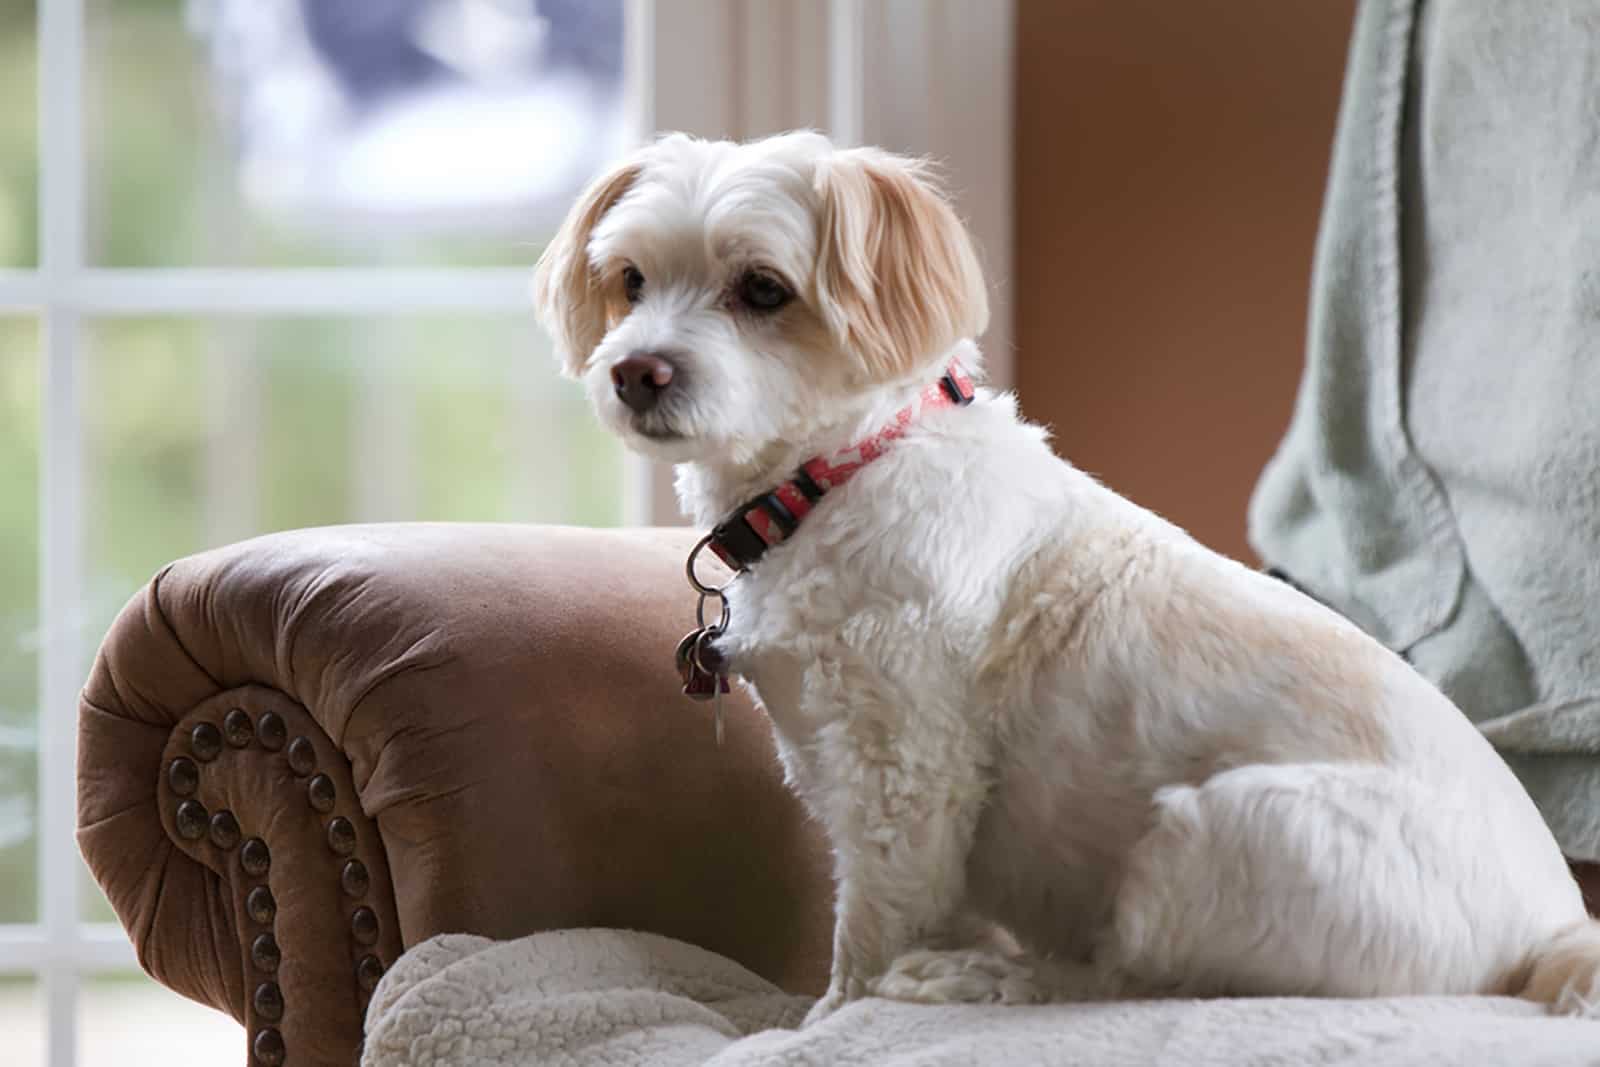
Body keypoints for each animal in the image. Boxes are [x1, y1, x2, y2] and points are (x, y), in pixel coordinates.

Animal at [531, 133, 1600, 1023]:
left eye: (761, 289)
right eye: (630, 281)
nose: (637, 372)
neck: (841, 474)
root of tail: (1550, 930)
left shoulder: (903, 771)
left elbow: (874, 924)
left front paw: (832, 1016)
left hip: (1223, 834)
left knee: (1135, 980)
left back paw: (984, 980)